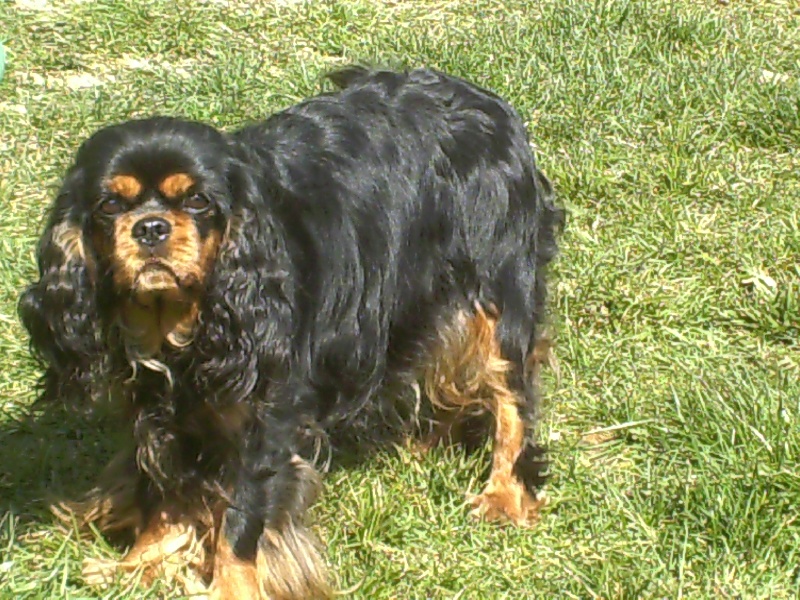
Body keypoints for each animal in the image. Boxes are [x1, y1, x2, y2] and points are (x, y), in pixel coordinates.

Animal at [18, 66, 563, 598]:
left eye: (197, 201)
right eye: (109, 206)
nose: (151, 227)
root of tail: (485, 99)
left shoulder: (265, 417)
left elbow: (242, 515)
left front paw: (230, 586)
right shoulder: (157, 409)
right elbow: (163, 488)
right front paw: (141, 563)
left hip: (497, 292)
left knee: (512, 396)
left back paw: (504, 494)